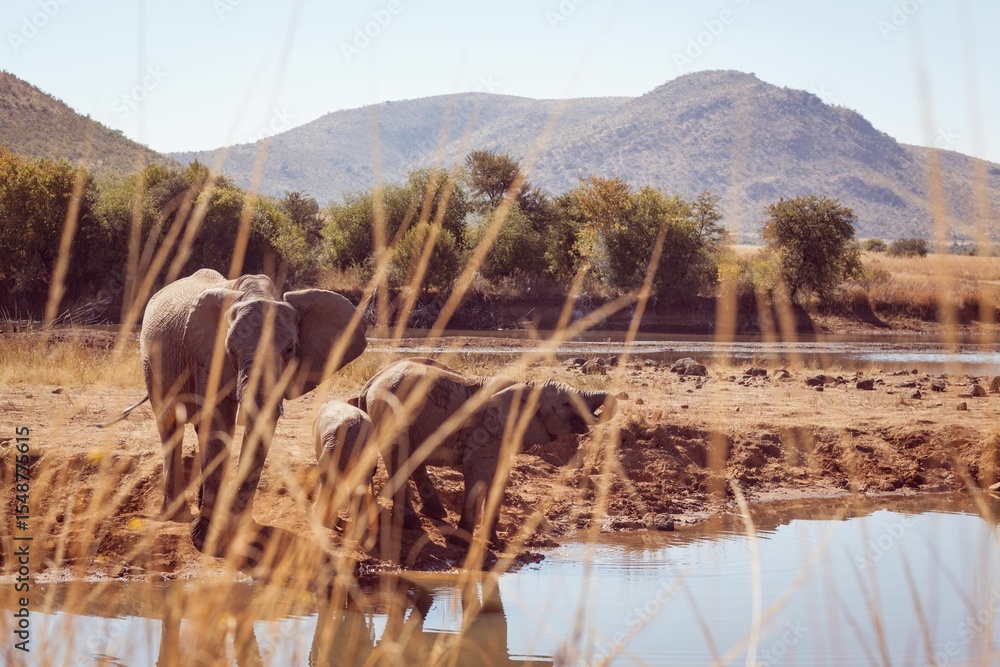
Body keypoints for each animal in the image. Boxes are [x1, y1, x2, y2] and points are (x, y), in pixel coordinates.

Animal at [127, 268, 366, 554]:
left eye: (290, 350)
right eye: (230, 350)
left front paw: (240, 528)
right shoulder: (209, 358)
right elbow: (219, 421)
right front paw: (207, 537)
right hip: (151, 361)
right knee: (170, 423)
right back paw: (177, 515)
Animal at [354, 358, 617, 546]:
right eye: (565, 404)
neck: (528, 385)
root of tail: (370, 384)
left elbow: (501, 476)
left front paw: (494, 543)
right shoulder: (482, 432)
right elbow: (478, 474)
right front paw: (460, 542)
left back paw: (435, 514)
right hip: (390, 413)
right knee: (399, 459)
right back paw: (413, 525)